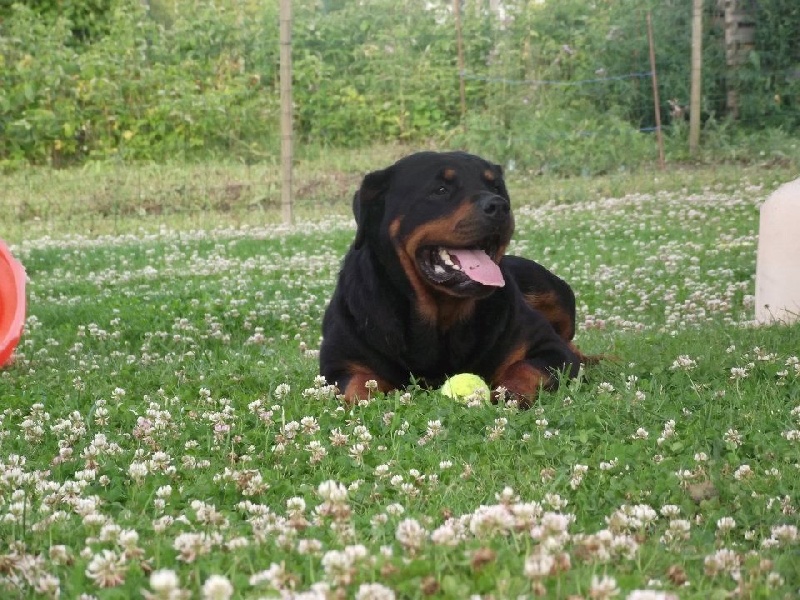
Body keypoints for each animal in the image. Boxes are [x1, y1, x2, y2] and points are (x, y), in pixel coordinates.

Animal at [318, 151, 588, 408]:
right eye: (440, 190)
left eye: (496, 187)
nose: (499, 206)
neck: (441, 317)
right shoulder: (339, 364)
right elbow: (358, 384)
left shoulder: (550, 349)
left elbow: (525, 367)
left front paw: (511, 392)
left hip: (552, 291)